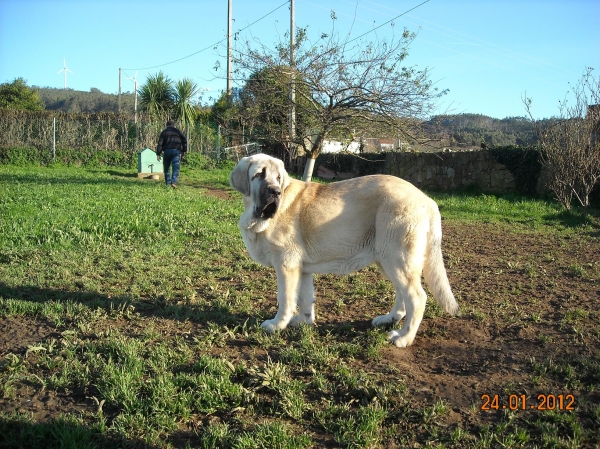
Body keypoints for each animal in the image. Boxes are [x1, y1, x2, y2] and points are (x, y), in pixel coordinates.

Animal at [227, 154, 458, 346]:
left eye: (278, 178)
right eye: (259, 175)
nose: (275, 192)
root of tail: (427, 200)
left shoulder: (286, 266)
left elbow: (285, 299)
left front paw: (277, 325)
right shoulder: (302, 269)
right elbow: (305, 298)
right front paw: (303, 321)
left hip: (397, 260)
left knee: (417, 298)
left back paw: (404, 338)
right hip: (388, 261)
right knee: (402, 296)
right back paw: (389, 319)